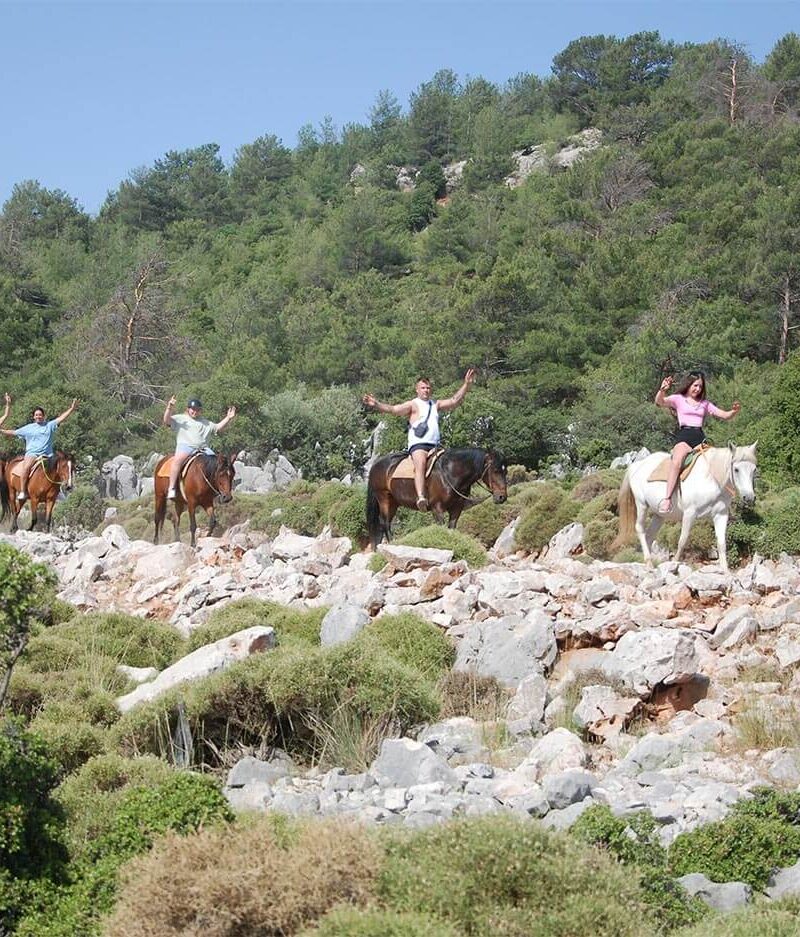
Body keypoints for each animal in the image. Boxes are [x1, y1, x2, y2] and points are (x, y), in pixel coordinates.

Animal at [368, 446, 510, 548]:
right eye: (495, 470)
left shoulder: (456, 509)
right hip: (384, 498)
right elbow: (441, 528)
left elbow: (451, 528)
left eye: (505, 471)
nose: (502, 497)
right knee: (385, 523)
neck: (450, 473)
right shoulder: (437, 508)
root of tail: (375, 465)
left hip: (394, 502)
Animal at [620, 442, 756, 576]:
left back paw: (648, 564)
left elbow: (722, 543)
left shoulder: (721, 515)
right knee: (640, 528)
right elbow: (683, 540)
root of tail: (637, 465)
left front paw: (725, 571)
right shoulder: (690, 513)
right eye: (736, 469)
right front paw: (674, 563)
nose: (749, 497)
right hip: (641, 504)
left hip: (659, 516)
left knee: (649, 535)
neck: (711, 479)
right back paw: (648, 562)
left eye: (754, 469)